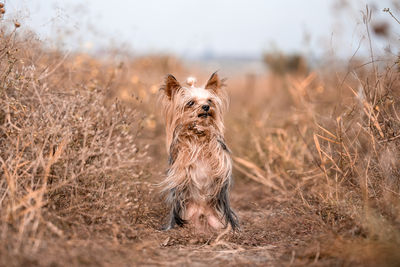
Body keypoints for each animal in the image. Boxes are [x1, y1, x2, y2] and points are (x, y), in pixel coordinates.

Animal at [159, 71, 239, 232]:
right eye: (190, 103)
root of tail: (202, 213)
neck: (198, 138)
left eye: (210, 100)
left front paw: (207, 130)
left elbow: (214, 143)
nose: (206, 107)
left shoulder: (220, 156)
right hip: (186, 216)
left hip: (218, 221)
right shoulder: (179, 157)